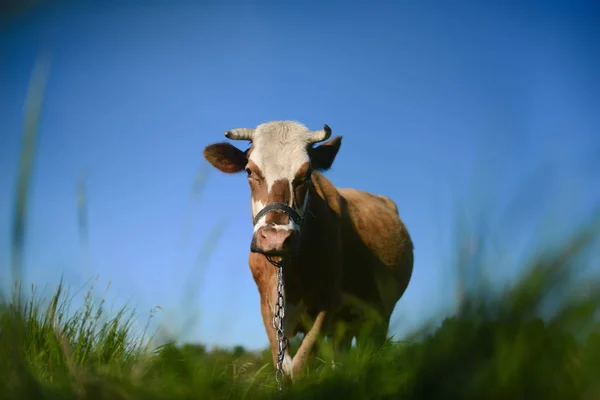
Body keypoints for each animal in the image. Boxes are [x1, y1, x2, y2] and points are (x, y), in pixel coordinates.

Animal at [202, 121, 412, 382]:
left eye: (307, 173)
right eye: (249, 171)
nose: (276, 237)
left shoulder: (327, 302)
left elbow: (300, 366)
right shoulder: (268, 308)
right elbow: (282, 366)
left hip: (379, 318)